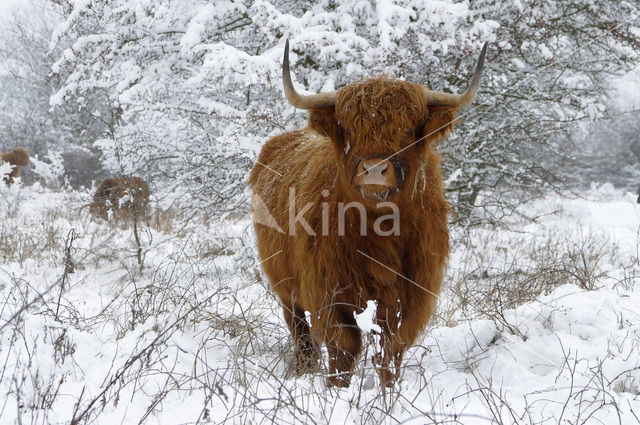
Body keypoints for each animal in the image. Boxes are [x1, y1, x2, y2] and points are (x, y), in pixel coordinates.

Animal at [250, 40, 484, 388]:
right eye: (349, 129)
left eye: (407, 128)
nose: (374, 170)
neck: (379, 231)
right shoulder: (326, 291)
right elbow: (342, 347)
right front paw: (337, 390)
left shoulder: (412, 295)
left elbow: (391, 348)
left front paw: (390, 390)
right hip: (285, 286)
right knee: (300, 331)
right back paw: (305, 368)